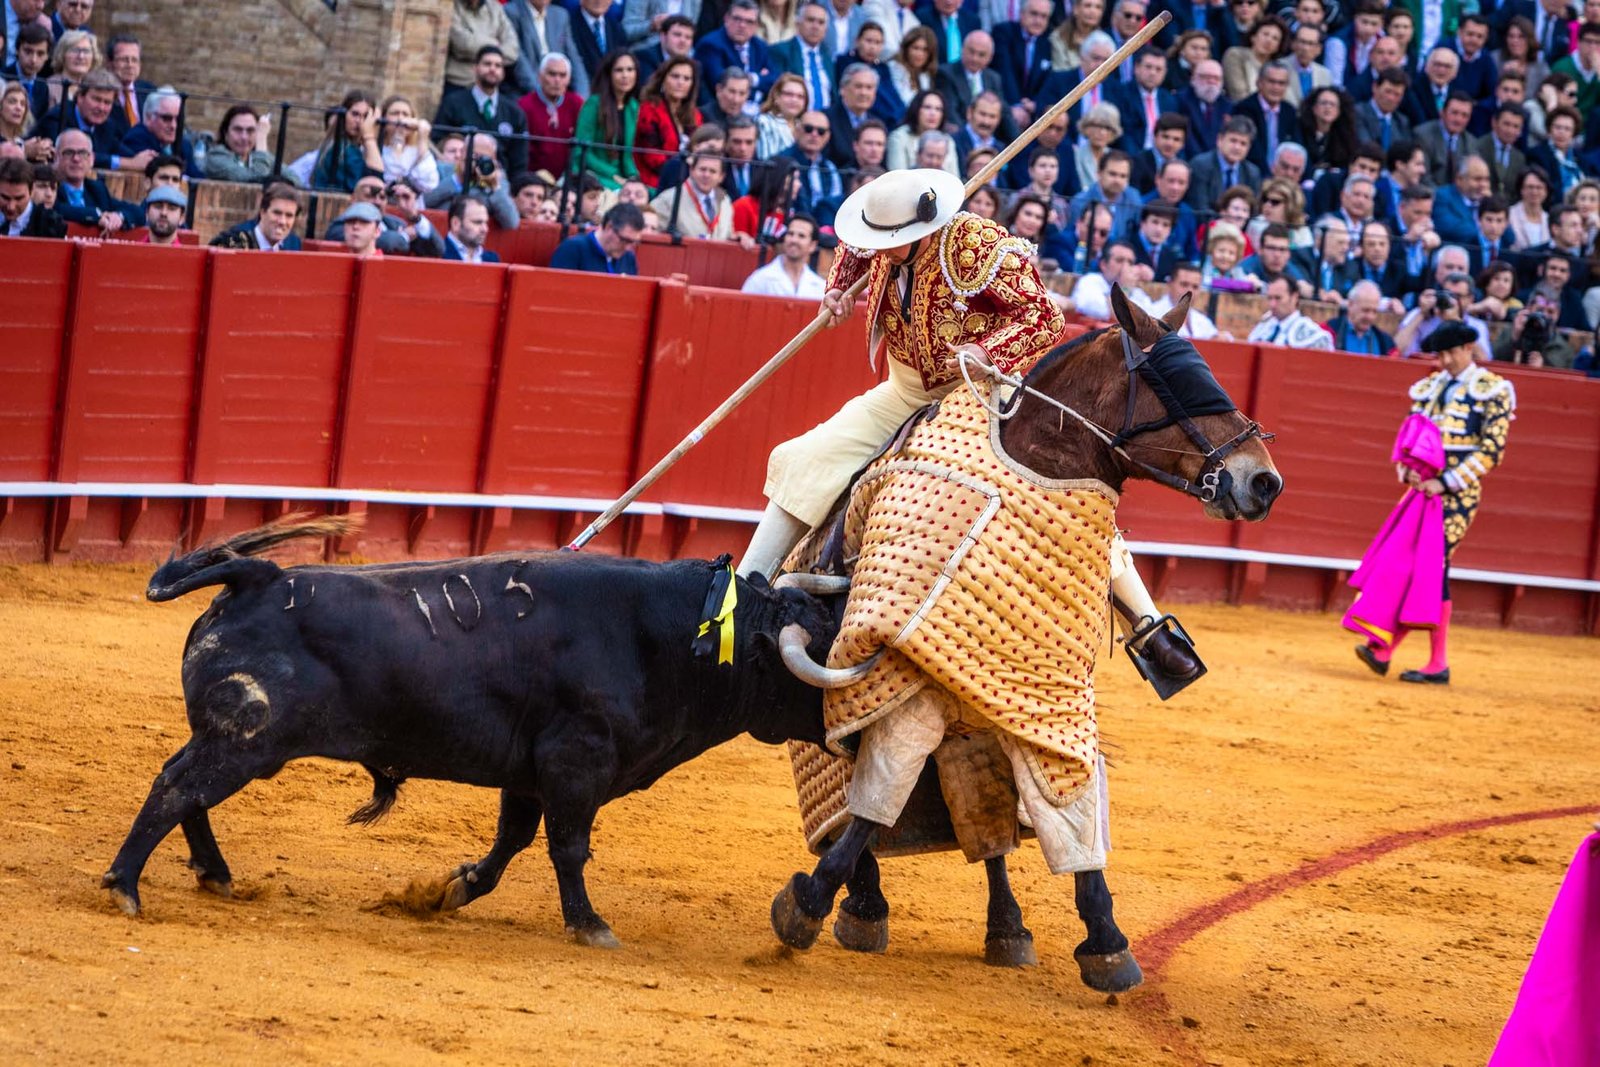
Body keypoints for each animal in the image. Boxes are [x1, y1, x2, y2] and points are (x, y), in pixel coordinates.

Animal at [768, 284, 1283, 993]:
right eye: (1179, 384)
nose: (1264, 482)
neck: (1036, 462)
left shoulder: (1042, 699)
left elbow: (1066, 812)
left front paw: (1107, 942)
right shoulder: (912, 688)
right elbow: (878, 798)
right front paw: (807, 906)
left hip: (976, 727)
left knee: (984, 815)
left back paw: (1007, 927)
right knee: (857, 803)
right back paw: (868, 905)